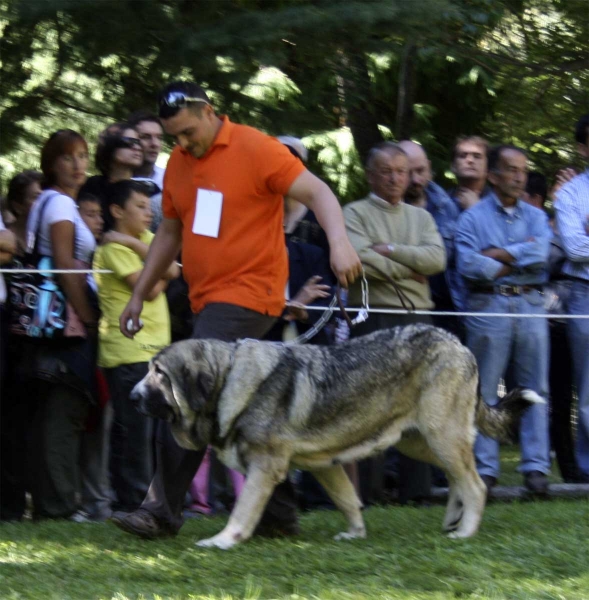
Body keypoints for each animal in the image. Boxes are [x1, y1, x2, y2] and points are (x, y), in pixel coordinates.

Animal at [132, 324, 544, 548]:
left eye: (159, 373)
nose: (133, 396)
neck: (228, 376)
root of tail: (459, 344)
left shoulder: (265, 467)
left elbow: (242, 510)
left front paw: (222, 541)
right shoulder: (323, 465)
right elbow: (348, 501)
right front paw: (356, 534)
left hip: (440, 434)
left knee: (475, 484)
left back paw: (466, 530)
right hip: (419, 441)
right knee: (460, 476)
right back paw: (453, 519)